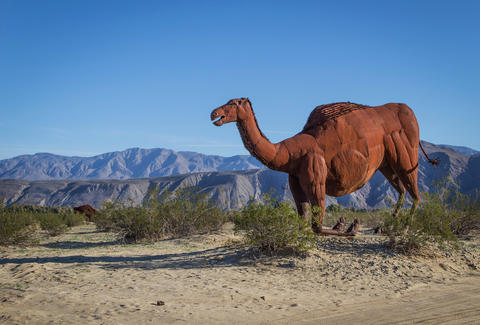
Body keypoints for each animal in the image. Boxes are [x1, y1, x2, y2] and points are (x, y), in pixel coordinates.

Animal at [212, 97, 436, 235]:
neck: (288, 153)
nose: (214, 113)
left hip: (406, 152)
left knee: (415, 194)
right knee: (402, 191)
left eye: (234, 103)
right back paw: (386, 227)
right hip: (386, 162)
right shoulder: (295, 181)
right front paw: (345, 226)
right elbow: (303, 222)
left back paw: (403, 230)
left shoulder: (314, 174)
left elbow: (317, 226)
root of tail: (411, 114)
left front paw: (349, 228)